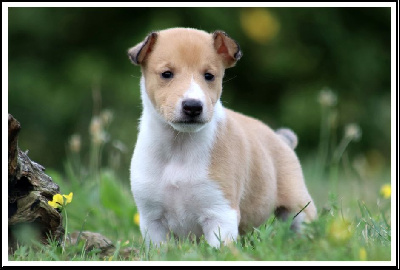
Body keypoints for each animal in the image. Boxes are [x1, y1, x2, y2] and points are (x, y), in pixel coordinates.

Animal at [126, 28, 318, 249]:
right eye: (166, 74)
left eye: (209, 76)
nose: (193, 106)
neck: (179, 146)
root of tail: (282, 139)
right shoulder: (153, 221)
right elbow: (160, 250)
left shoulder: (219, 213)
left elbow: (219, 249)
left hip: (298, 205)